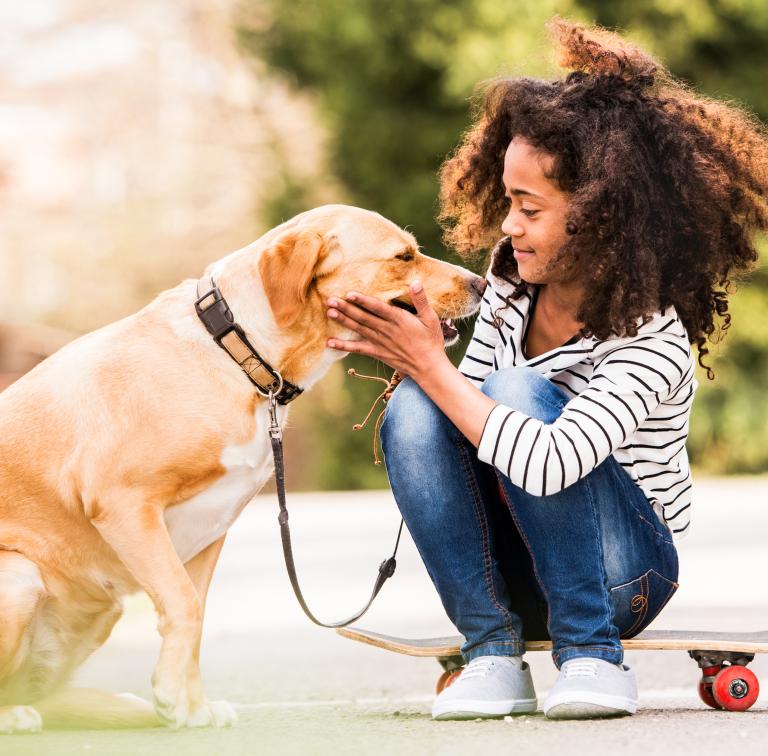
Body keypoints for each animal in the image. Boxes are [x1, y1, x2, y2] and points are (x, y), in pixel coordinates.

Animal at [0, 205, 484, 732]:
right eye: (403, 257)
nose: (481, 282)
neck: (237, 352)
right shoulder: (122, 502)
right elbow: (183, 603)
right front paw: (172, 695)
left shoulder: (210, 531)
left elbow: (195, 613)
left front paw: (192, 706)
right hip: (20, 576)